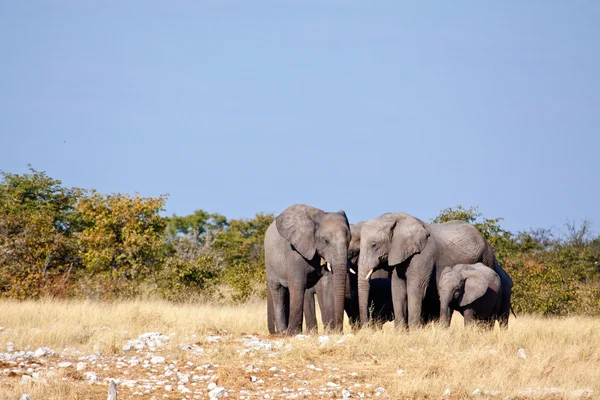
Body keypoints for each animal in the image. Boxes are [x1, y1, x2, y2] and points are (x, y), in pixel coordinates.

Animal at [264, 203, 352, 334]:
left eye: (349, 240)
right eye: (326, 241)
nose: (339, 330)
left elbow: (326, 285)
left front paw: (331, 333)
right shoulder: (294, 250)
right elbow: (298, 284)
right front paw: (293, 333)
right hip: (270, 262)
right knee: (278, 290)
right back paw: (283, 332)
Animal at [358, 214, 500, 330]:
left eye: (374, 245)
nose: (367, 327)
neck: (396, 218)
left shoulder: (423, 255)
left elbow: (416, 289)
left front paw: (414, 332)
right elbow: (397, 289)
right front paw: (400, 333)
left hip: (487, 259)